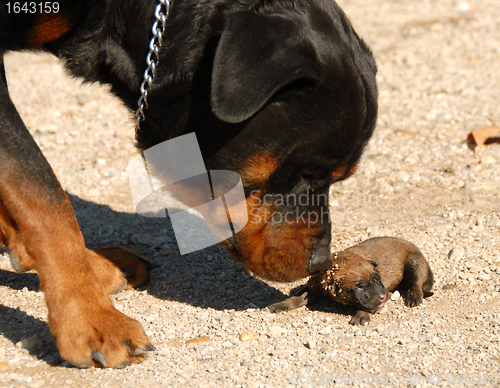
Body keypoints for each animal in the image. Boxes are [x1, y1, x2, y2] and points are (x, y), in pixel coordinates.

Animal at [270, 236, 434, 324]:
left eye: (378, 278)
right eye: (360, 286)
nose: (384, 296)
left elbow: (368, 305)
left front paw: (361, 315)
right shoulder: (314, 288)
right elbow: (296, 297)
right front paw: (280, 304)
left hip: (413, 262)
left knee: (416, 283)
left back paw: (414, 298)